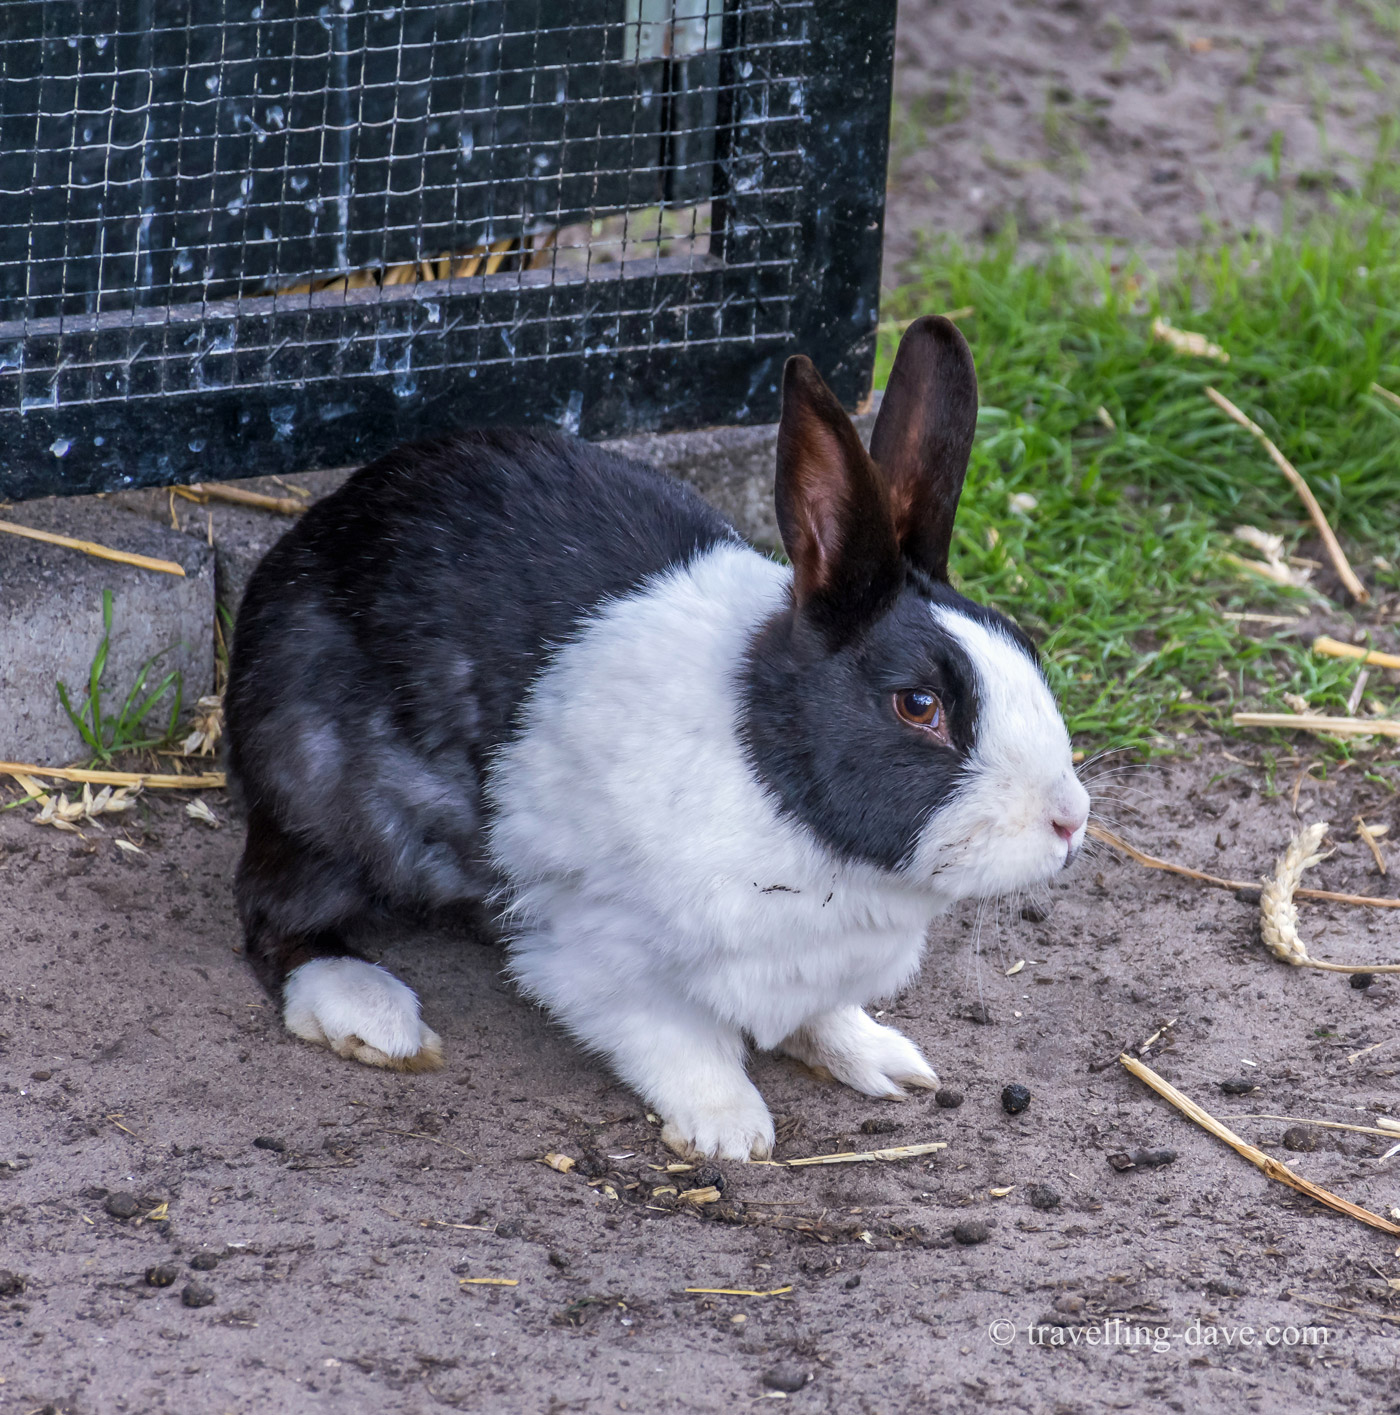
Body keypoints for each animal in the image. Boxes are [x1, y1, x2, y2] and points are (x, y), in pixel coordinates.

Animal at [224, 315, 1091, 1161]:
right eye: (918, 705)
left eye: (1024, 645)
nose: (1071, 821)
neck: (775, 778)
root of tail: (308, 540)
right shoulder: (597, 948)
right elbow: (675, 1038)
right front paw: (729, 1128)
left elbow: (820, 1015)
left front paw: (879, 1058)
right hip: (317, 791)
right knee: (274, 916)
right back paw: (369, 1011)